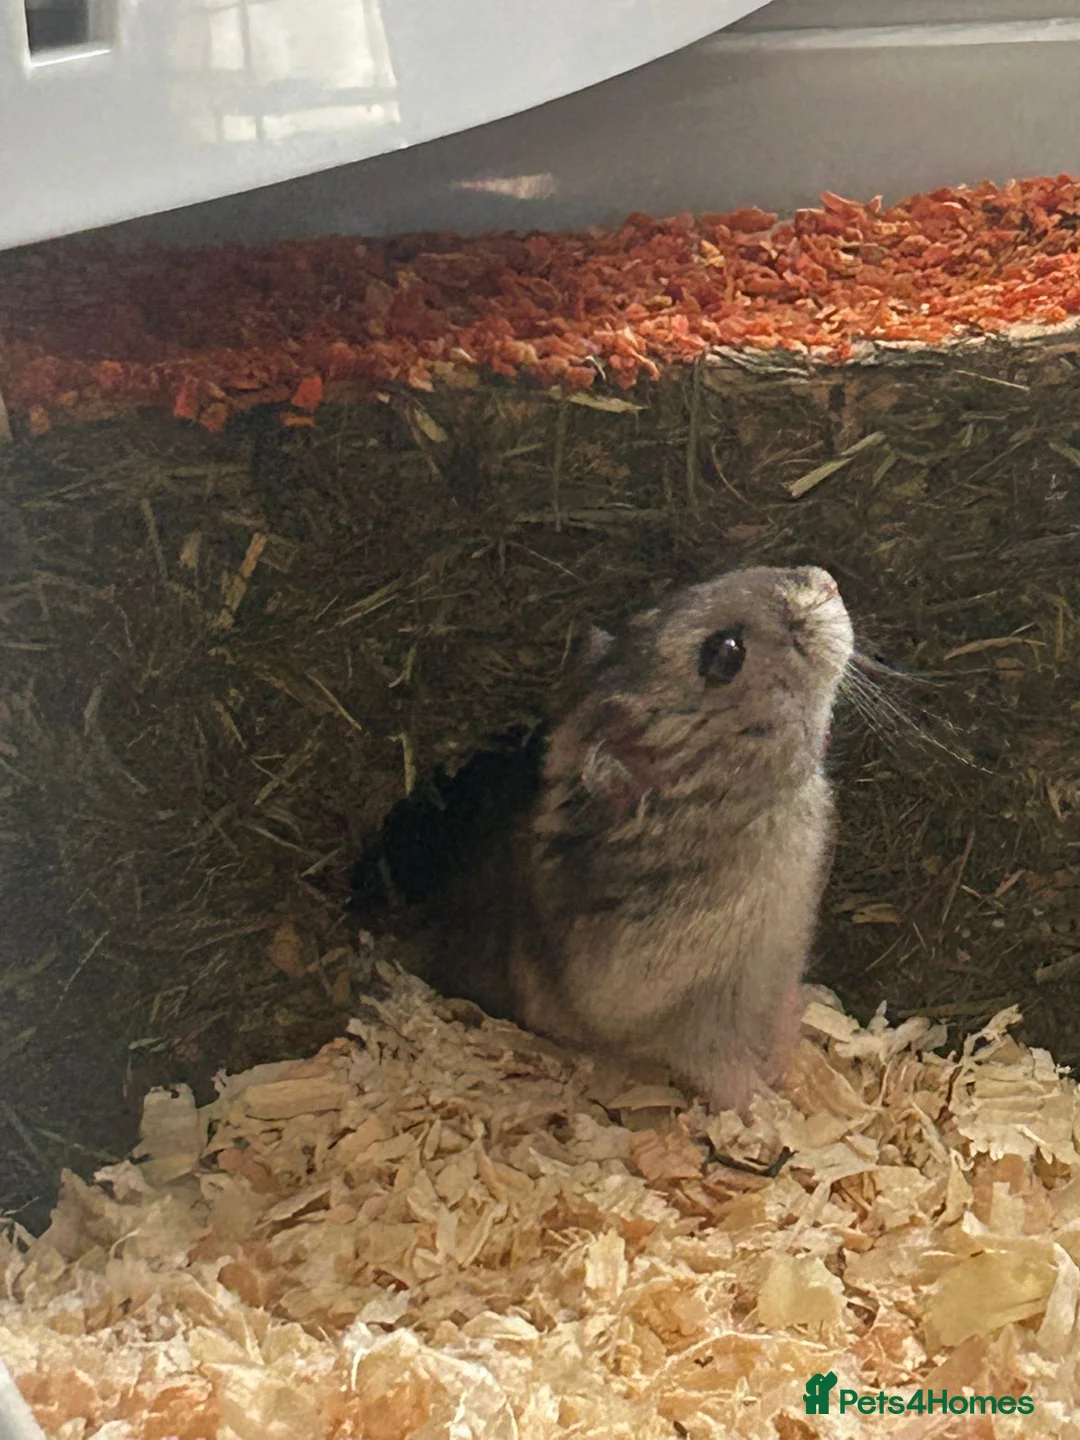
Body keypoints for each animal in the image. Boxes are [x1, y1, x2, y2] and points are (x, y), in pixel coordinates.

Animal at [429, 565, 854, 1115]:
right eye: (726, 653)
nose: (827, 582)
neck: (744, 814)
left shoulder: (782, 950)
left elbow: (782, 1004)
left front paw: (800, 1036)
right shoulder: (657, 1005)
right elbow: (716, 1064)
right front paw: (767, 1108)